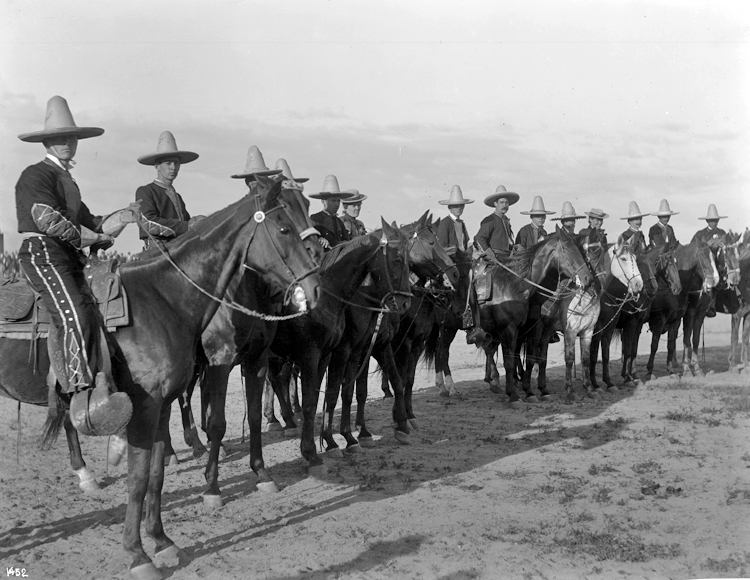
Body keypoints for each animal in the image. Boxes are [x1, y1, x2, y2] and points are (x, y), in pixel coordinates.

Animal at [482, 227, 592, 408]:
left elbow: (540, 359)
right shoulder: (516, 329)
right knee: (488, 350)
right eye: (567, 250)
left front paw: (540, 390)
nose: (587, 279)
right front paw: (518, 394)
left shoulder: (543, 329)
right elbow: (517, 360)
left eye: (583, 252)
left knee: (491, 349)